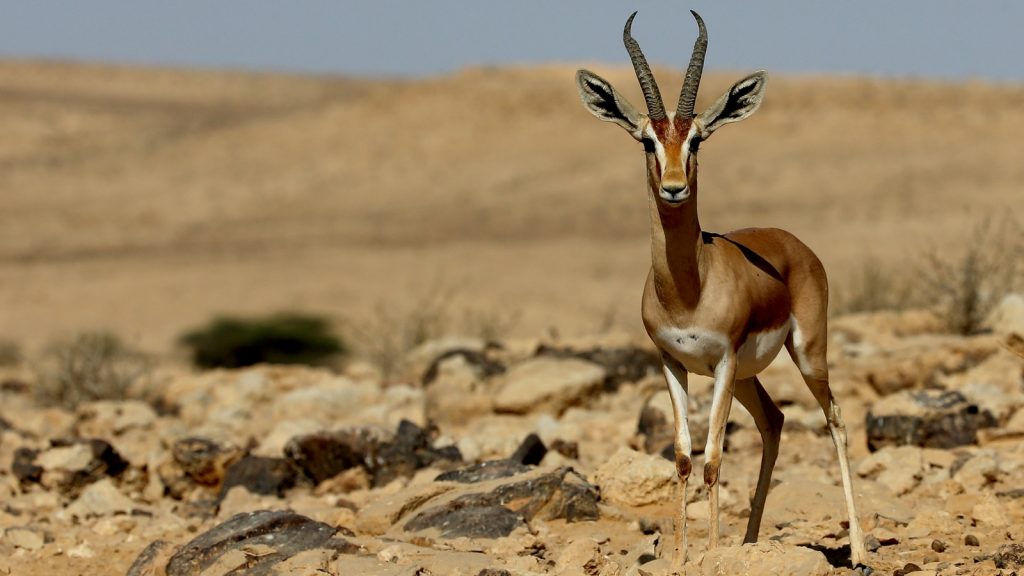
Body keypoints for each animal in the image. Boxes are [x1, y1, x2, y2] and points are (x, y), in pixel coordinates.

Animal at [575, 11, 867, 568]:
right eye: (646, 140)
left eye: (697, 139)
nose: (673, 187)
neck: (689, 289)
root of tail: (791, 241)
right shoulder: (672, 361)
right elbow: (683, 457)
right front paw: (684, 557)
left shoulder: (726, 360)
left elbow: (712, 458)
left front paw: (709, 553)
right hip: (747, 378)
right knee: (774, 420)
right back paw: (750, 543)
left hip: (804, 355)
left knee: (835, 418)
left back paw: (860, 550)